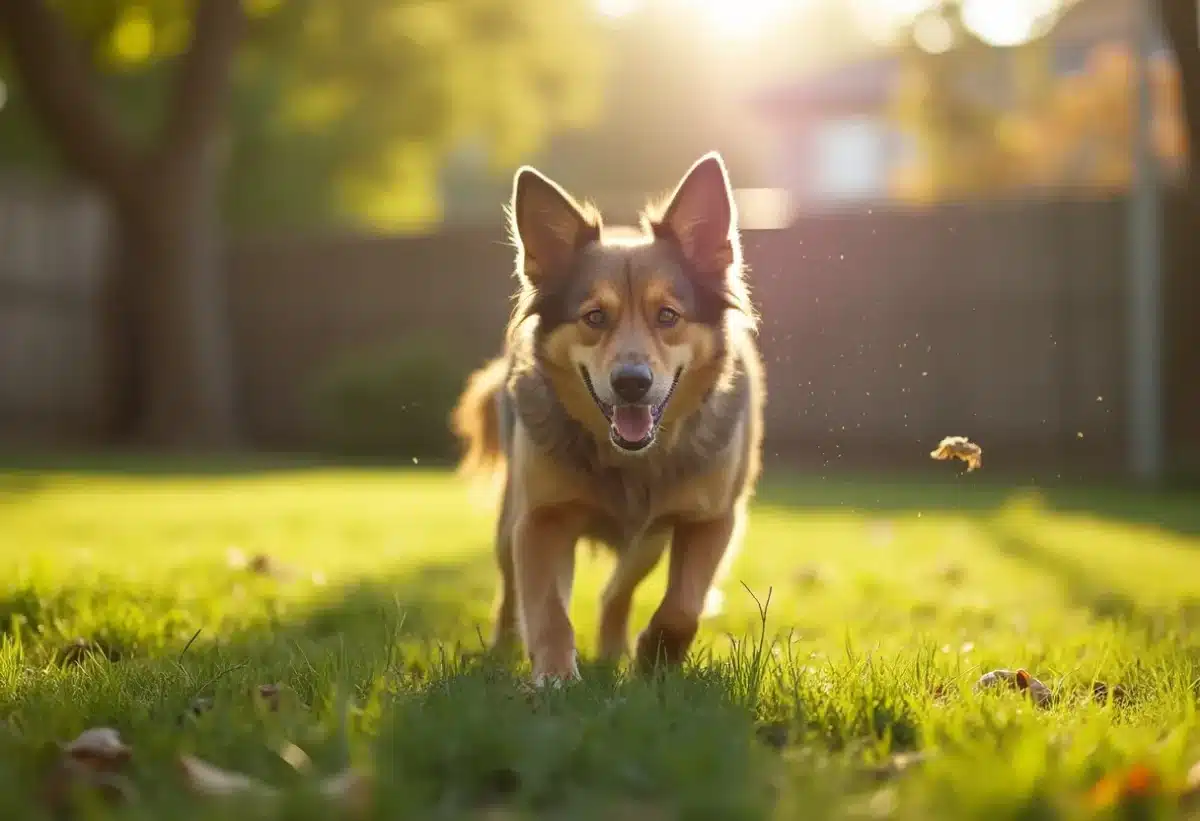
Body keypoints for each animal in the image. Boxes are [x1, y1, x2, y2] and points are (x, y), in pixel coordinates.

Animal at [451, 150, 768, 681]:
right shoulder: (541, 519)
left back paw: (615, 648)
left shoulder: (711, 519)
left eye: (668, 315)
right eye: (594, 317)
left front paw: (655, 657)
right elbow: (547, 611)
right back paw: (504, 648)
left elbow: (683, 606)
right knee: (513, 590)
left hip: (651, 539)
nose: (632, 382)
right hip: (509, 518)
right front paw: (556, 678)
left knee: (617, 589)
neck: (631, 461)